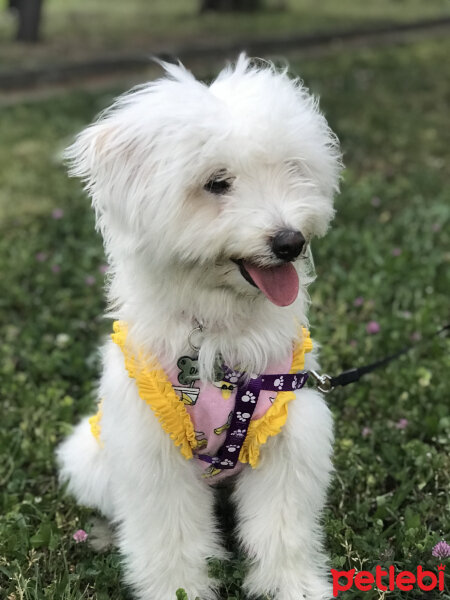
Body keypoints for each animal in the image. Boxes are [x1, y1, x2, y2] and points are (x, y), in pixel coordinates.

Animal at [58, 57, 342, 600]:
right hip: (93, 457)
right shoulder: (152, 452)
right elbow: (168, 537)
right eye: (216, 183)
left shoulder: (288, 434)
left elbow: (282, 526)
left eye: (292, 169)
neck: (219, 331)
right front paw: (178, 590)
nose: (290, 241)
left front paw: (293, 584)